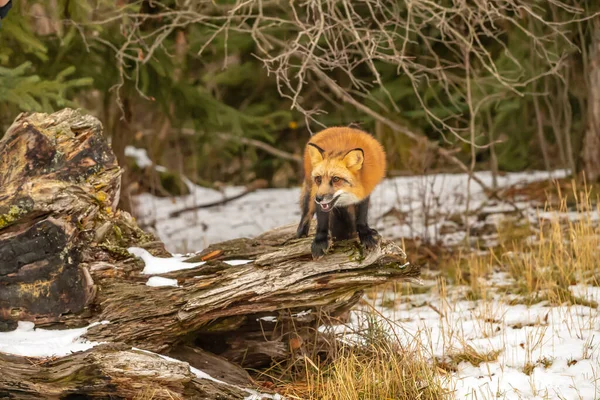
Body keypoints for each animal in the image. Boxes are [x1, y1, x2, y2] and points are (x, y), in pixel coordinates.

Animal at [294, 127, 386, 260]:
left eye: (336, 179)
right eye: (318, 179)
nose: (318, 198)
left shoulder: (364, 192)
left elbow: (362, 218)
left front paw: (366, 235)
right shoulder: (317, 192)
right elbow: (322, 221)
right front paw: (320, 242)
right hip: (309, 194)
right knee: (306, 215)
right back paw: (301, 235)